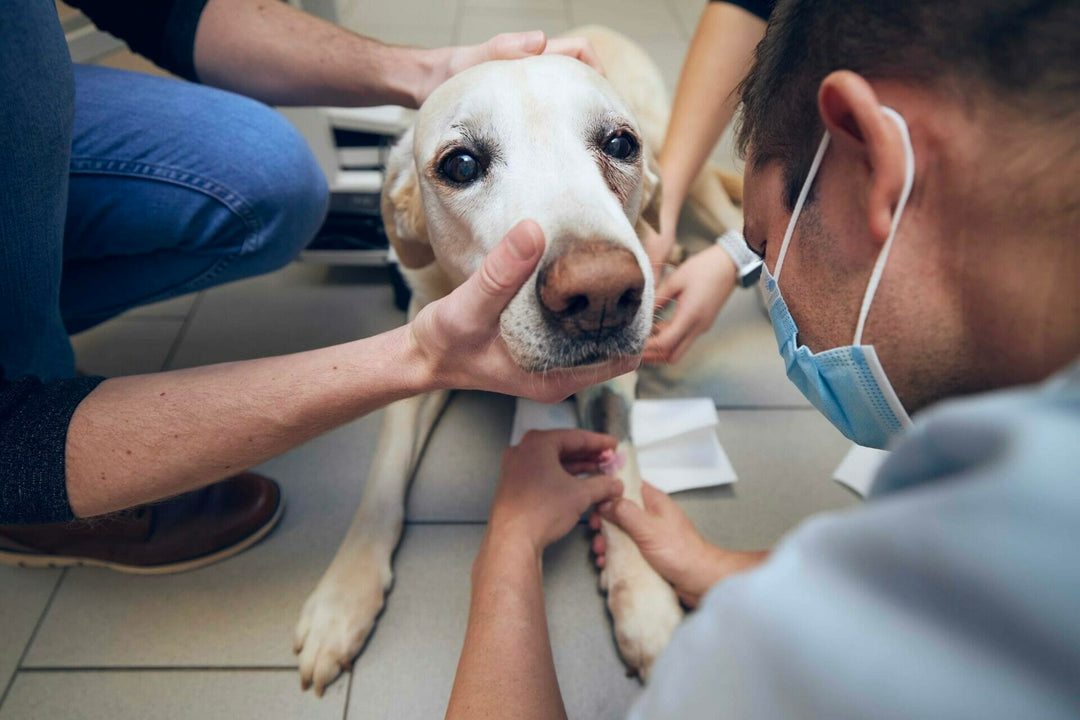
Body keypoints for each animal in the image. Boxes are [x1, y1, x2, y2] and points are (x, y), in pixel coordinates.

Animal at [295, 25, 743, 695]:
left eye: (619, 144)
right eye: (460, 164)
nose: (601, 295)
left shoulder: (614, 381)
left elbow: (622, 467)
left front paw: (643, 595)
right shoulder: (420, 349)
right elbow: (383, 475)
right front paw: (342, 597)